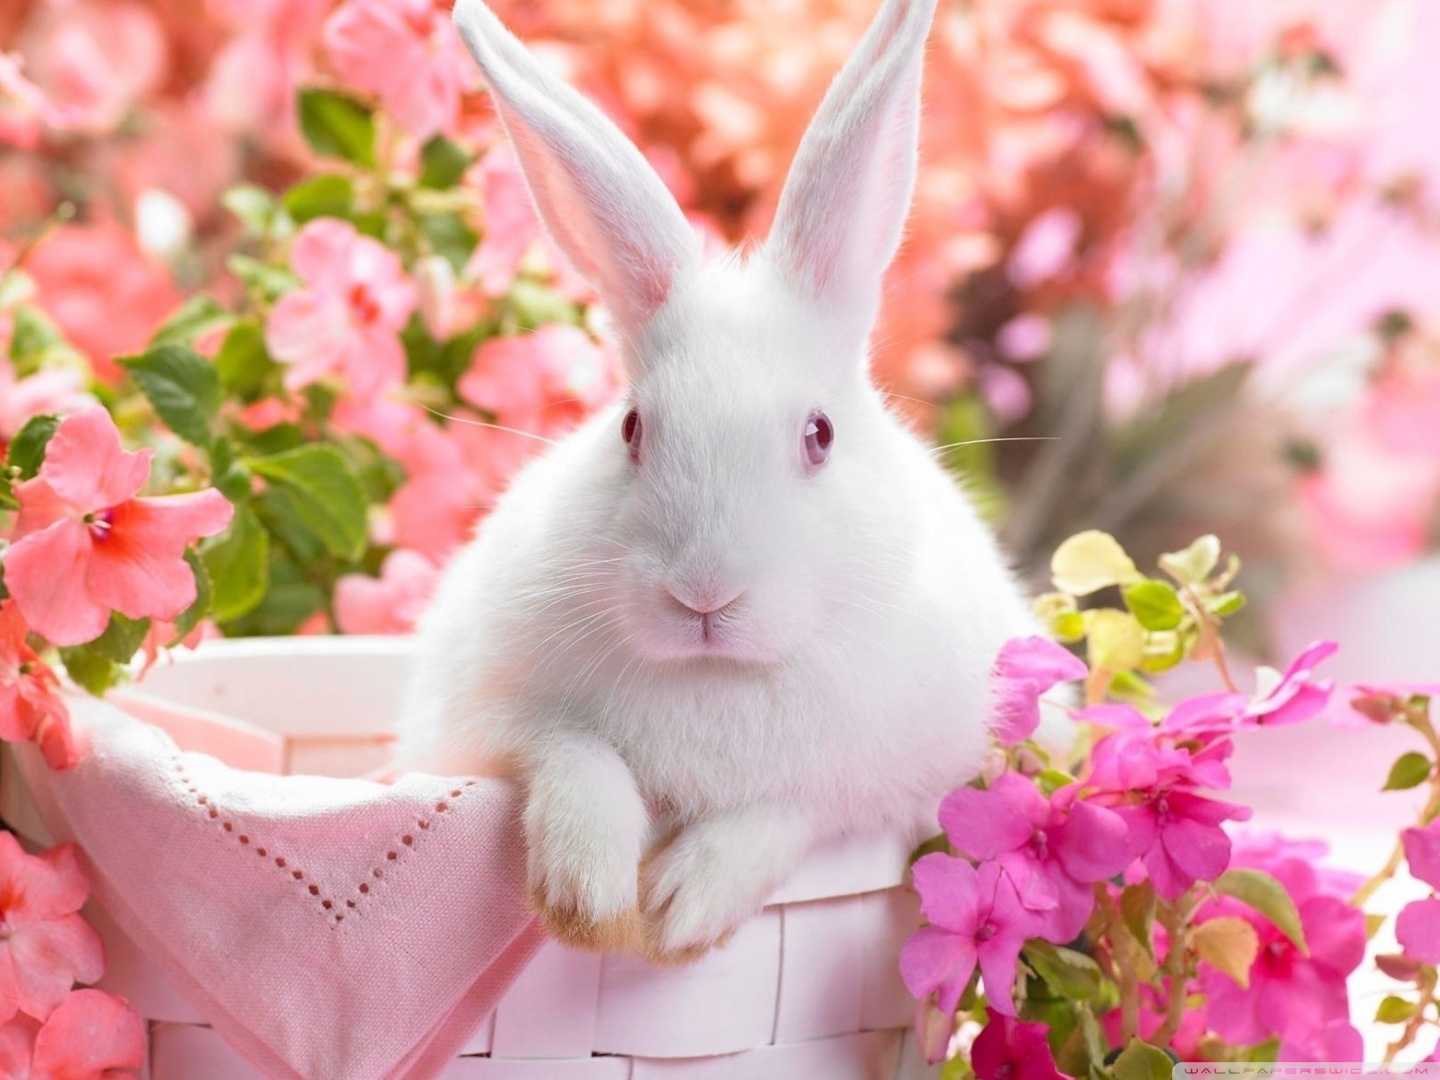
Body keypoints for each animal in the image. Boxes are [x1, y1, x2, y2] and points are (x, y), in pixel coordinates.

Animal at [396, 0, 1040, 963]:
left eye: (819, 435)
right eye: (632, 428)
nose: (703, 594)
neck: (716, 676)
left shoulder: (896, 779)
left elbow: (787, 809)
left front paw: (680, 907)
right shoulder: (481, 719)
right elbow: (572, 753)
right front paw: (589, 897)